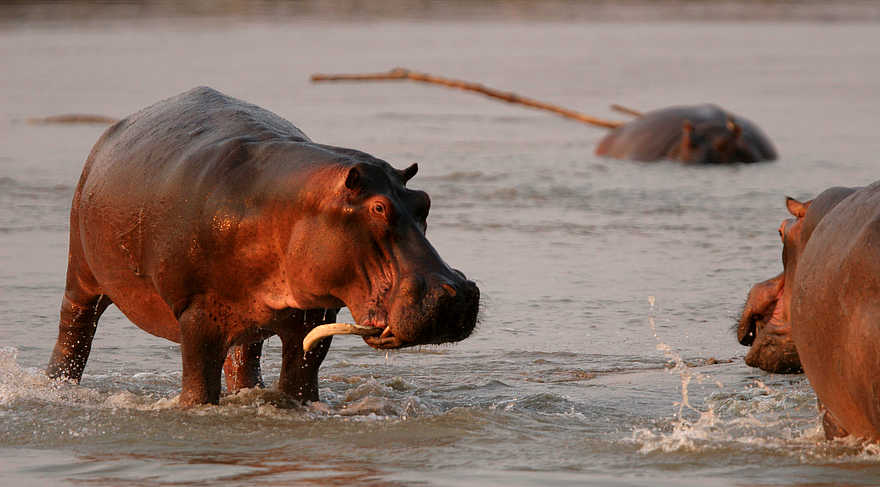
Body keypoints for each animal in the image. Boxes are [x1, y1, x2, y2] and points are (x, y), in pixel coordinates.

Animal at [47, 87, 480, 407]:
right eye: (378, 207)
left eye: (424, 201)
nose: (454, 293)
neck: (294, 206)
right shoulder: (196, 314)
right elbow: (199, 388)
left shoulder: (313, 316)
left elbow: (299, 382)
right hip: (81, 273)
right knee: (74, 333)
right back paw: (57, 387)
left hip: (246, 324)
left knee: (243, 361)